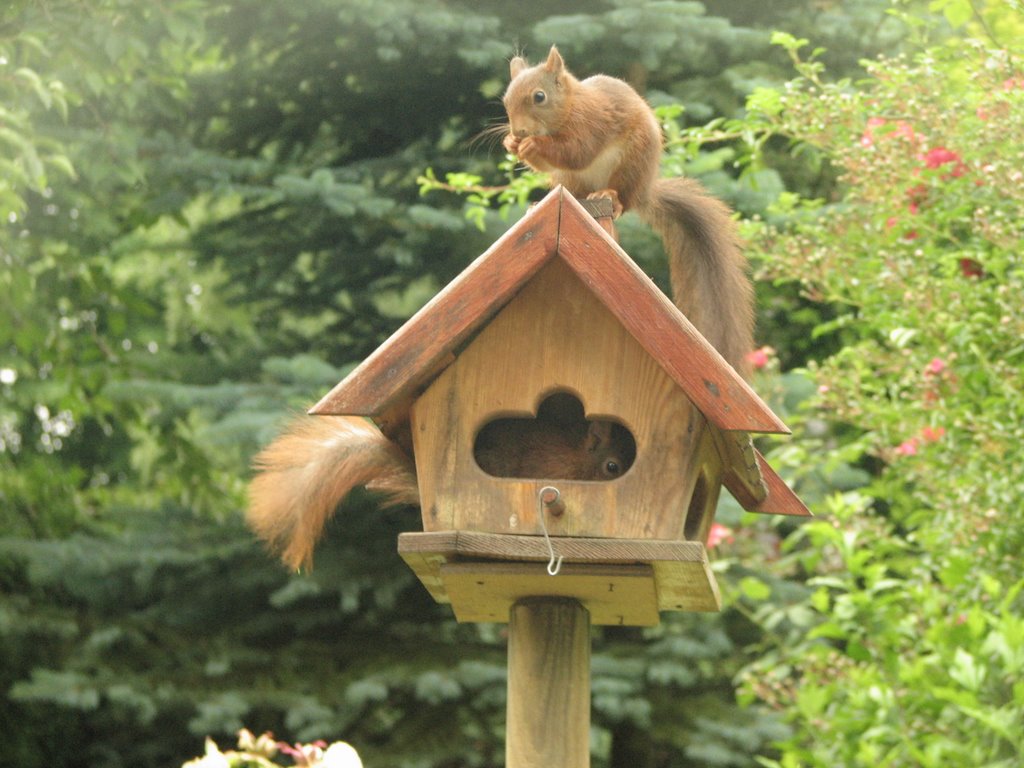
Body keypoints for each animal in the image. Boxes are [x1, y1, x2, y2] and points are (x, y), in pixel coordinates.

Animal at [503, 45, 753, 376]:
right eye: (505, 99)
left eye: (539, 97)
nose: (518, 130)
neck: (570, 107)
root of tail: (645, 192)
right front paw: (511, 143)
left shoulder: (591, 123)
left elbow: (576, 151)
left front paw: (532, 145)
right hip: (569, 179)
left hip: (631, 162)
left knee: (621, 197)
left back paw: (609, 195)